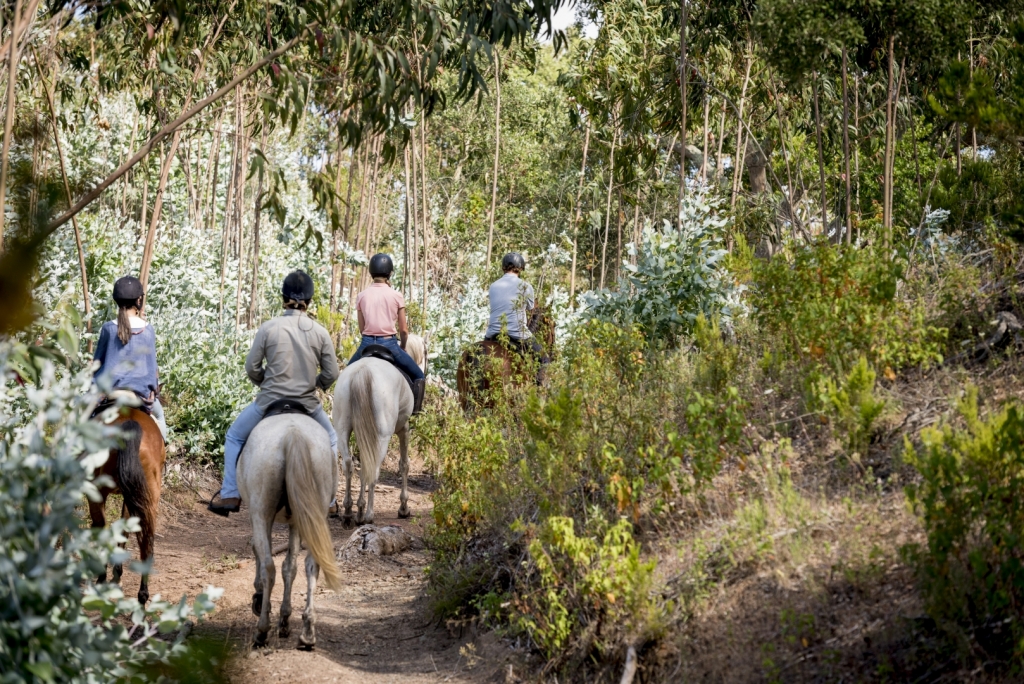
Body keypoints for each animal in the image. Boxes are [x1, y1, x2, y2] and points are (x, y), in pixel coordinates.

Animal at [89, 405, 164, 602]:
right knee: (146, 541)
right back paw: (142, 596)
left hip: (99, 492)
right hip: (147, 496)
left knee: (102, 529)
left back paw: (102, 580)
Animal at [236, 413, 344, 651]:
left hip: (262, 512)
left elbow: (259, 551)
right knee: (311, 564)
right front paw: (284, 619)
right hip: (313, 512)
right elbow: (290, 566)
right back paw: (307, 633)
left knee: (268, 566)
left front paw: (260, 599)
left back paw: (262, 631)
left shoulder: (259, 517)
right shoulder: (296, 521)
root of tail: (293, 434)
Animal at [327, 335, 423, 524]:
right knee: (374, 468)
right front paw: (403, 508)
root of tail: (363, 371)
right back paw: (369, 515)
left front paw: (359, 507)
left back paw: (349, 511)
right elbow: (404, 464)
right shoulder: (404, 429)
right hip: (382, 436)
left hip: (342, 429)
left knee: (349, 464)